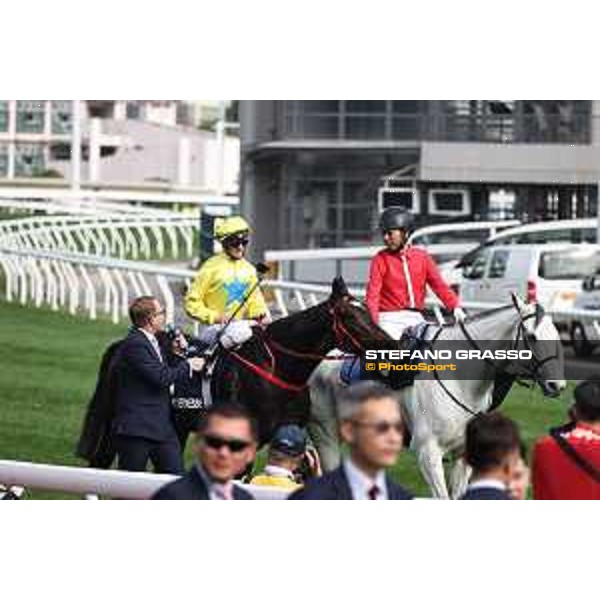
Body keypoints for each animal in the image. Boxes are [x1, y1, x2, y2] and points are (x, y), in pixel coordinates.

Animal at [77, 276, 386, 464]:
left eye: (367, 311)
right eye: (351, 317)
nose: (388, 343)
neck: (276, 369)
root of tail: (121, 344)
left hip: (177, 425)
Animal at [310, 294, 568, 496]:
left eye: (556, 333)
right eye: (532, 336)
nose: (558, 385)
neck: (459, 378)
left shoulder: (463, 453)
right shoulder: (428, 453)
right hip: (326, 435)